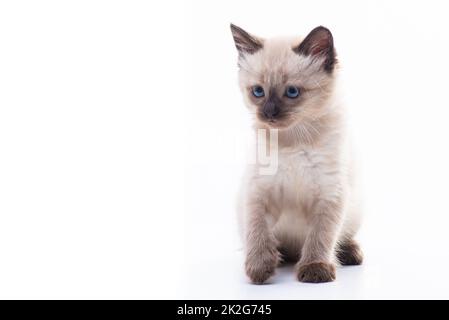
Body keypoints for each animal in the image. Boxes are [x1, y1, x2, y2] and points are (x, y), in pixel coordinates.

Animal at [229, 25, 362, 284]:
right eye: (258, 92)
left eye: (292, 92)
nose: (269, 114)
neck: (292, 141)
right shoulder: (258, 192)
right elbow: (257, 231)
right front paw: (259, 269)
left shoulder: (330, 194)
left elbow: (321, 236)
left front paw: (315, 270)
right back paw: (279, 258)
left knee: (341, 238)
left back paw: (350, 254)